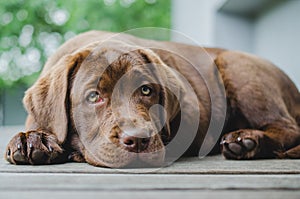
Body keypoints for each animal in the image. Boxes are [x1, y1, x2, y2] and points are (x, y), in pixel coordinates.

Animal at [4, 30, 300, 168]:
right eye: (93, 96)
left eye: (146, 91)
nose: (138, 141)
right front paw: (31, 140)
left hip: (237, 66)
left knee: (289, 128)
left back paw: (245, 140)